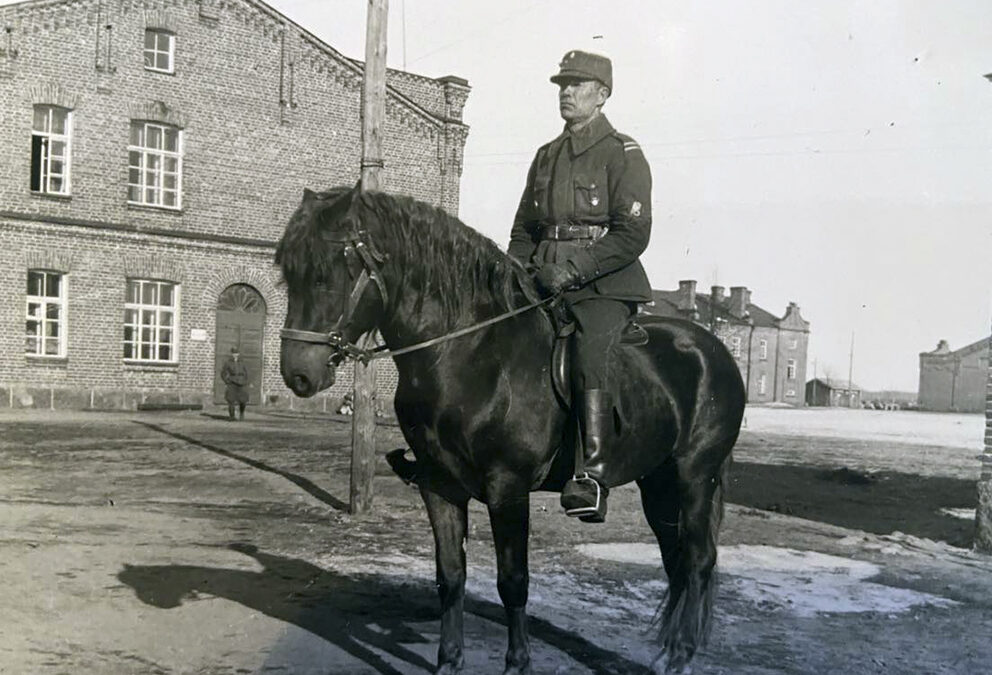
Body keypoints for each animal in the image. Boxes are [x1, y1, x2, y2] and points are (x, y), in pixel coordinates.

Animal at [278, 186, 744, 675]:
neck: (468, 355)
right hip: (658, 483)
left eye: (326, 276)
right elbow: (451, 575)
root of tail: (712, 348)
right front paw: (449, 661)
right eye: (288, 275)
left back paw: (681, 657)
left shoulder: (508, 488)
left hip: (695, 478)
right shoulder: (439, 486)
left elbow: (513, 580)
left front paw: (518, 663)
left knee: (697, 560)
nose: (297, 375)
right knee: (676, 560)